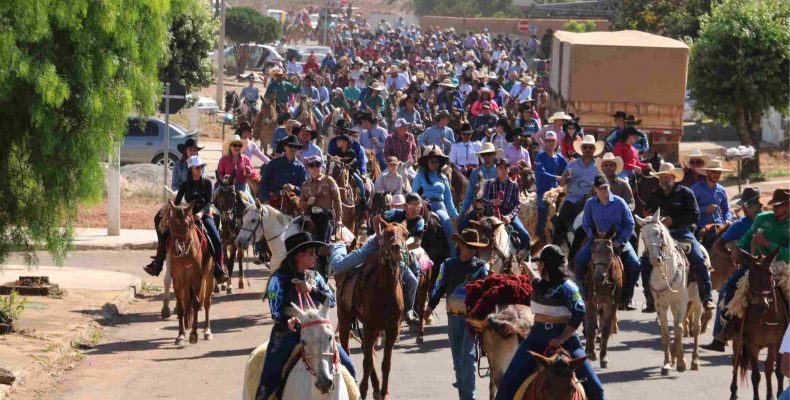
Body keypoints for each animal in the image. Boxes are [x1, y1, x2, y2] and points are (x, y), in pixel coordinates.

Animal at [164, 202, 215, 346]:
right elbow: (181, 306)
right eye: (172, 223)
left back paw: (207, 331)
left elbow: (196, 303)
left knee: (207, 302)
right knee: (187, 301)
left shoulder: (197, 280)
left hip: (209, 276)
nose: (177, 250)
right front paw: (181, 335)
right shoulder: (178, 281)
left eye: (187, 224)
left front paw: (194, 334)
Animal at [336, 222, 408, 400]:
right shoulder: (369, 326)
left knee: (368, 351)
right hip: (344, 319)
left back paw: (376, 388)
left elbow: (385, 363)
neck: (385, 291)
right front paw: (362, 390)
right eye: (387, 232)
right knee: (350, 349)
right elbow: (367, 362)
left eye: (405, 233)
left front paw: (383, 392)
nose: (396, 249)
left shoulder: (391, 329)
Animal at [580, 225, 624, 368]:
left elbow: (605, 331)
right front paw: (590, 353)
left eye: (609, 251)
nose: (599, 277)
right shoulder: (591, 304)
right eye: (592, 250)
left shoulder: (611, 305)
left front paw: (604, 357)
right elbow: (590, 329)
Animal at [636, 211, 704, 376]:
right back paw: (674, 358)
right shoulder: (661, 306)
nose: (655, 259)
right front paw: (667, 363)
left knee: (696, 327)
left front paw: (681, 363)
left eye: (657, 232)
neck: (666, 272)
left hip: (697, 301)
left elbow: (679, 330)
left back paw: (695, 360)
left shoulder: (680, 303)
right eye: (643, 236)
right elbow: (666, 333)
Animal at [732, 248, 788, 398]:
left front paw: (777, 394)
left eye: (770, 274)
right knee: (735, 362)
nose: (761, 306)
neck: (766, 318)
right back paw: (733, 391)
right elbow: (756, 376)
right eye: (751, 275)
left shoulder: (777, 342)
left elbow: (777, 371)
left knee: (768, 368)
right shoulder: (752, 344)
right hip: (738, 340)